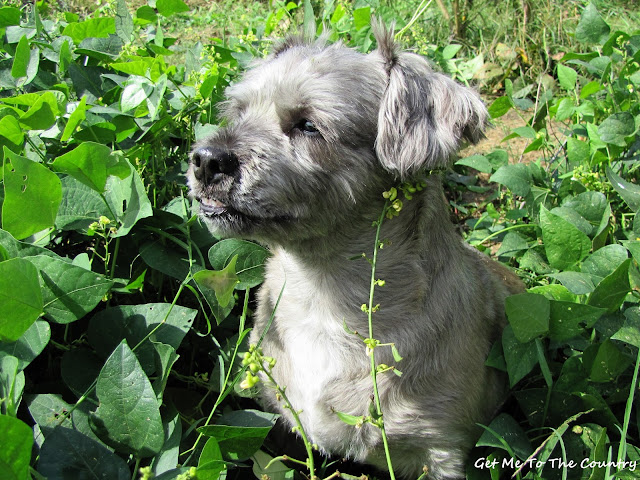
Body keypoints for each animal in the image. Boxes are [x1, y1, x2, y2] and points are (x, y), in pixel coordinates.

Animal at [187, 21, 523, 479]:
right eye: (238, 112)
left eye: (308, 126)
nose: (206, 159)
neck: (323, 295)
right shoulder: (276, 420)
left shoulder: (443, 453)